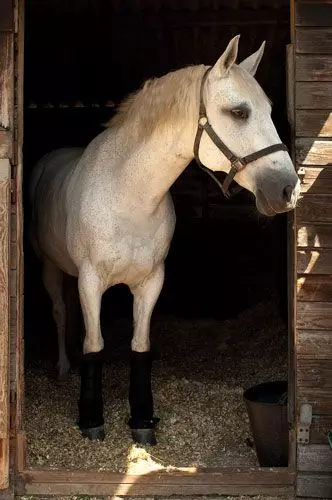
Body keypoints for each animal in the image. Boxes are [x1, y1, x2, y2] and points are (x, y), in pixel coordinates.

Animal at [29, 36, 300, 446]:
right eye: (238, 112)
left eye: (270, 111)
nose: (287, 190)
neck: (128, 196)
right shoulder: (92, 281)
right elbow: (95, 345)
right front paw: (91, 420)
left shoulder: (151, 281)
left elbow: (140, 347)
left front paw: (142, 421)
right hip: (50, 268)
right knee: (61, 313)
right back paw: (63, 367)